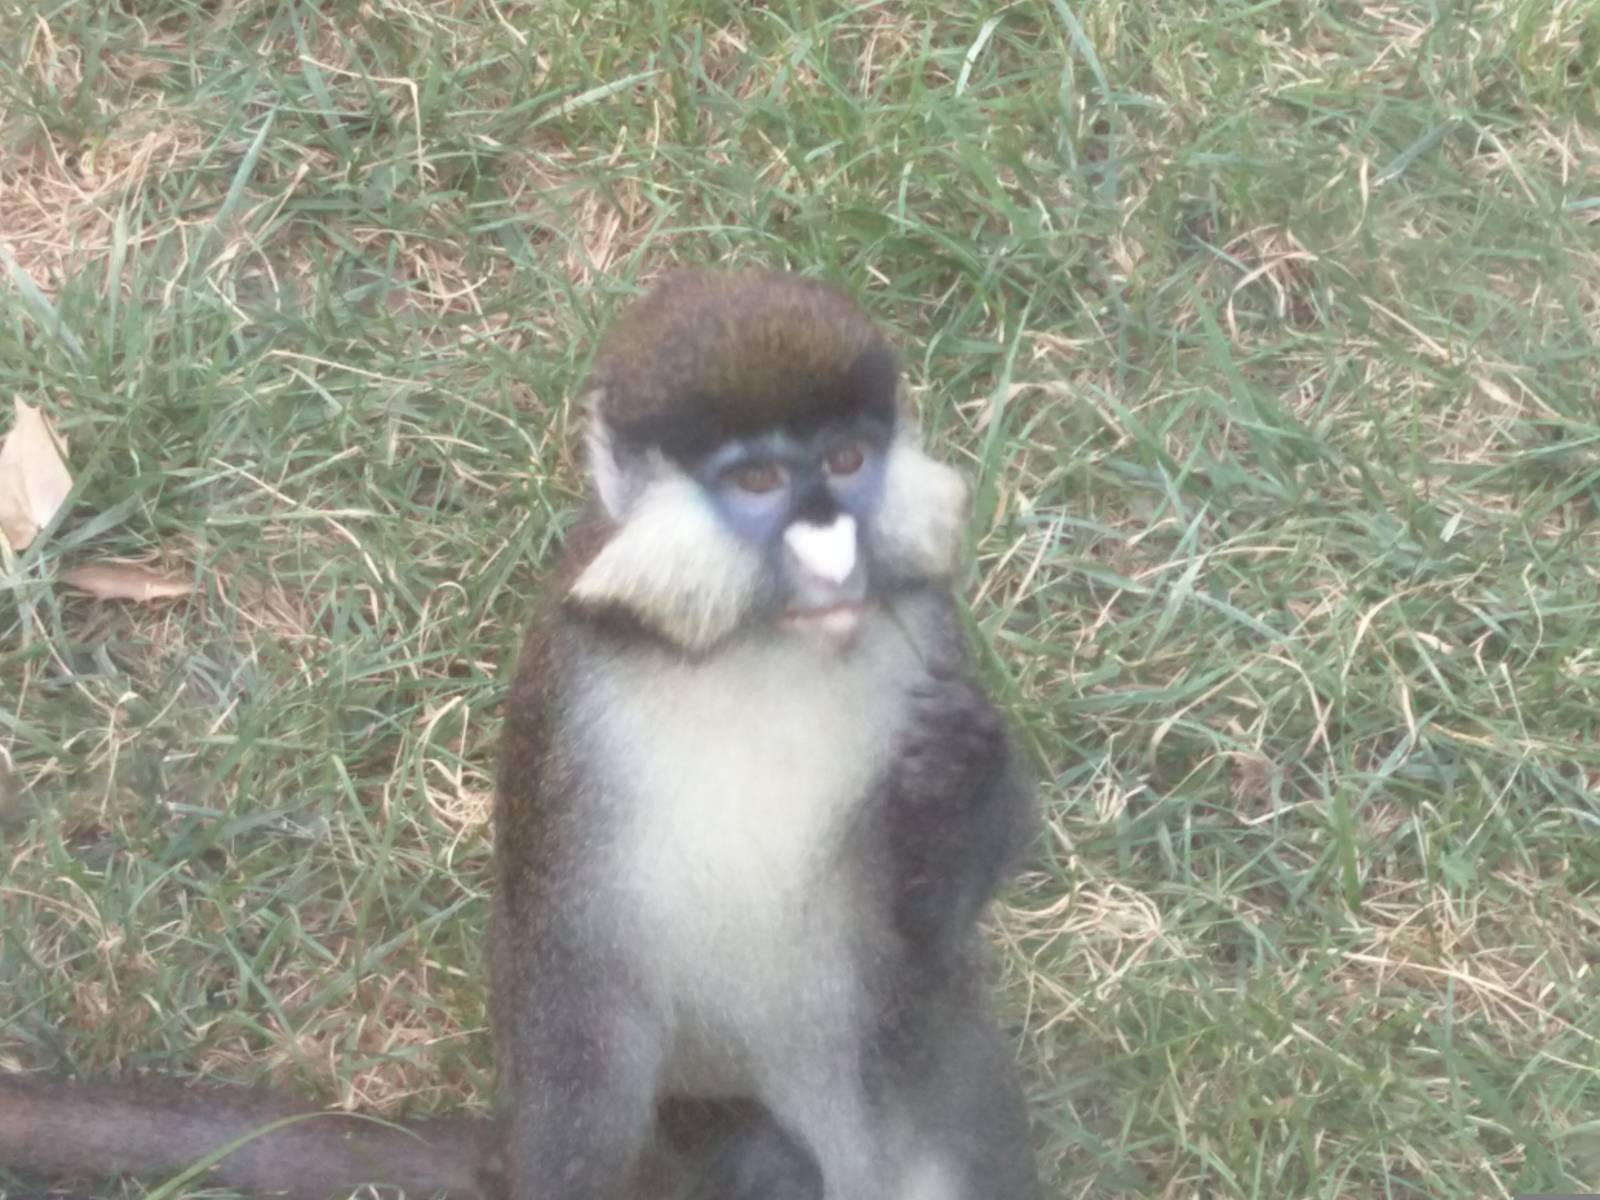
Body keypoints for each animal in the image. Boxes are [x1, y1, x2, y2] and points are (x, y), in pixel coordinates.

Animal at [0, 267, 1037, 1200]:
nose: (835, 552)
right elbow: (569, 990)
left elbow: (925, 942)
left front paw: (962, 772)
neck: (754, 651)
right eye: (757, 480)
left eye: (850, 462)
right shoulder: (565, 698)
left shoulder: (927, 628)